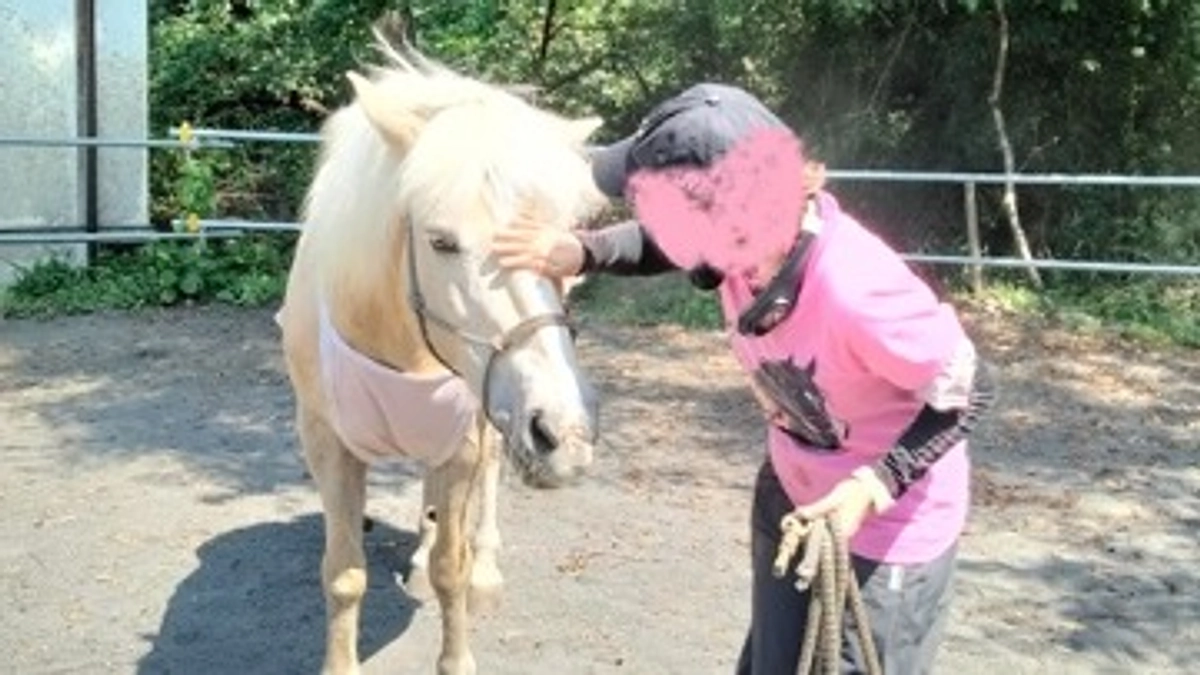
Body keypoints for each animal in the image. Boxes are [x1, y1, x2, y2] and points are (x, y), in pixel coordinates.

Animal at [276, 33, 606, 675]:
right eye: (441, 241)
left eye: (563, 246)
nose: (565, 435)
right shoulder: (327, 442)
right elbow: (344, 574)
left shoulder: (465, 440)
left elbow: (452, 568)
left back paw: (486, 571)